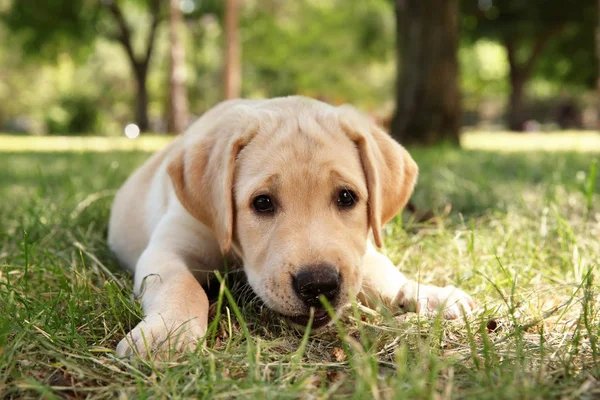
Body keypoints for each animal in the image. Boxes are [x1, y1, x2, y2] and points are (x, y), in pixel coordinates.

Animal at [106, 96, 474, 356]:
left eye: (346, 197)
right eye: (262, 202)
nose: (319, 285)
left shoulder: (358, 250)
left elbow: (383, 272)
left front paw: (426, 292)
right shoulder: (168, 249)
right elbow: (180, 285)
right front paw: (167, 333)